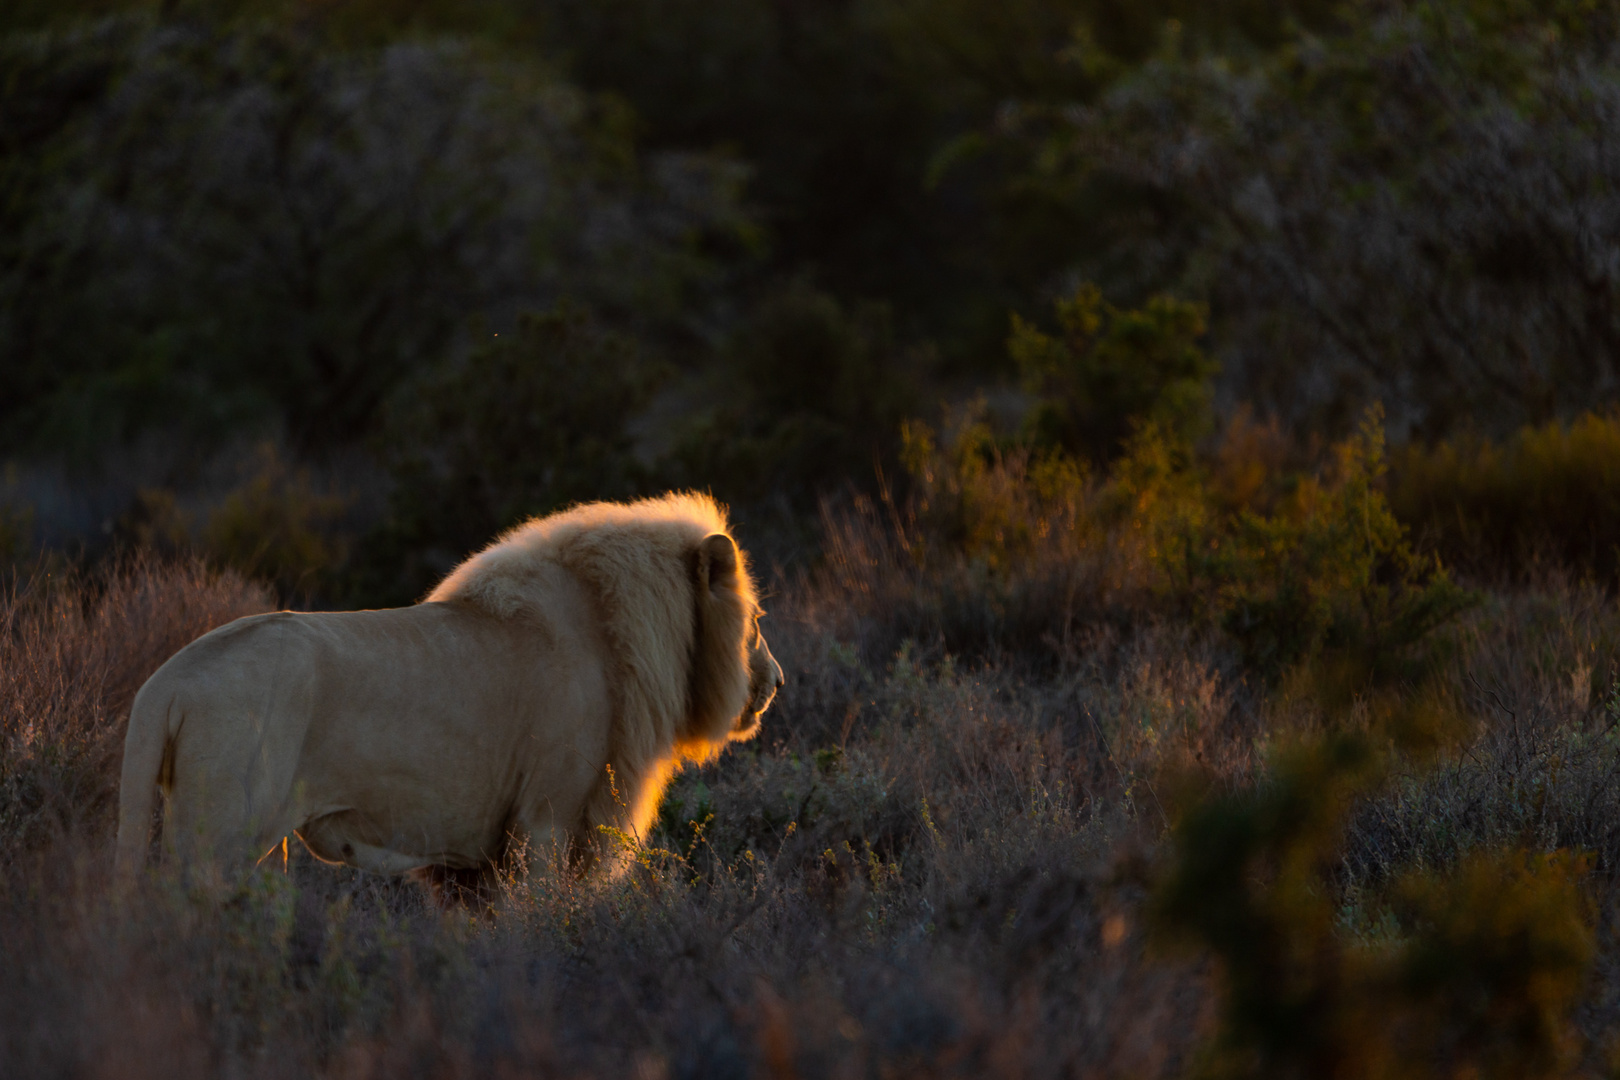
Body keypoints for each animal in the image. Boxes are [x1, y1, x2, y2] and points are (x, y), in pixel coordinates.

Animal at [110, 495, 780, 893]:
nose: (777, 682)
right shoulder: (546, 818)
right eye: (755, 621)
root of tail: (164, 683)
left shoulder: (475, 861)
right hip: (219, 839)